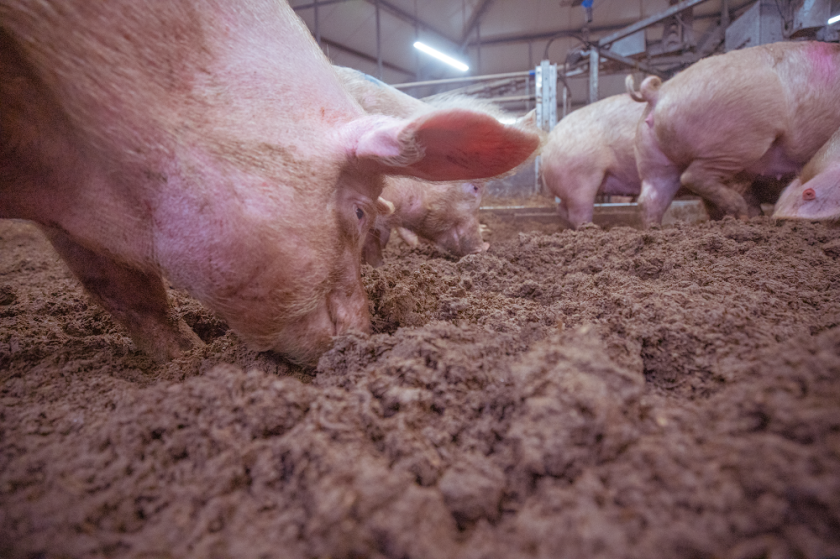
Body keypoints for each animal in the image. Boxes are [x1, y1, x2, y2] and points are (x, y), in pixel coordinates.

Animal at [0, 0, 540, 366]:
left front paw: (185, 357)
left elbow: (128, 294)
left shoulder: (71, 222)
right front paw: (193, 361)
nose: (364, 334)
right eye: (357, 210)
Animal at [632, 41, 840, 230]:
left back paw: (655, 230)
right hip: (733, 143)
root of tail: (659, 93)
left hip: (652, 157)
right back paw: (741, 213)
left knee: (650, 199)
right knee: (692, 177)